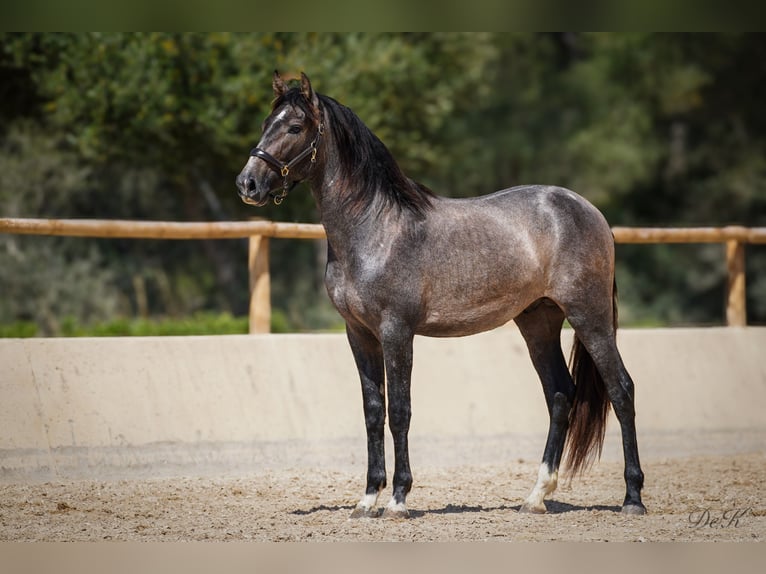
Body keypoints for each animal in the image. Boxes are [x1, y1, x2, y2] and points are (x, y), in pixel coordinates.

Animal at [236, 72, 646, 518]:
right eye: (265, 123)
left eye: (294, 127)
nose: (247, 183)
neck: (375, 228)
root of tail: (590, 211)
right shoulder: (358, 333)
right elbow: (373, 412)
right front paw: (367, 499)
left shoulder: (396, 331)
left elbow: (400, 411)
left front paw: (398, 499)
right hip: (538, 320)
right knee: (559, 394)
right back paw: (536, 497)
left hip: (589, 316)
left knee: (622, 390)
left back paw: (632, 498)